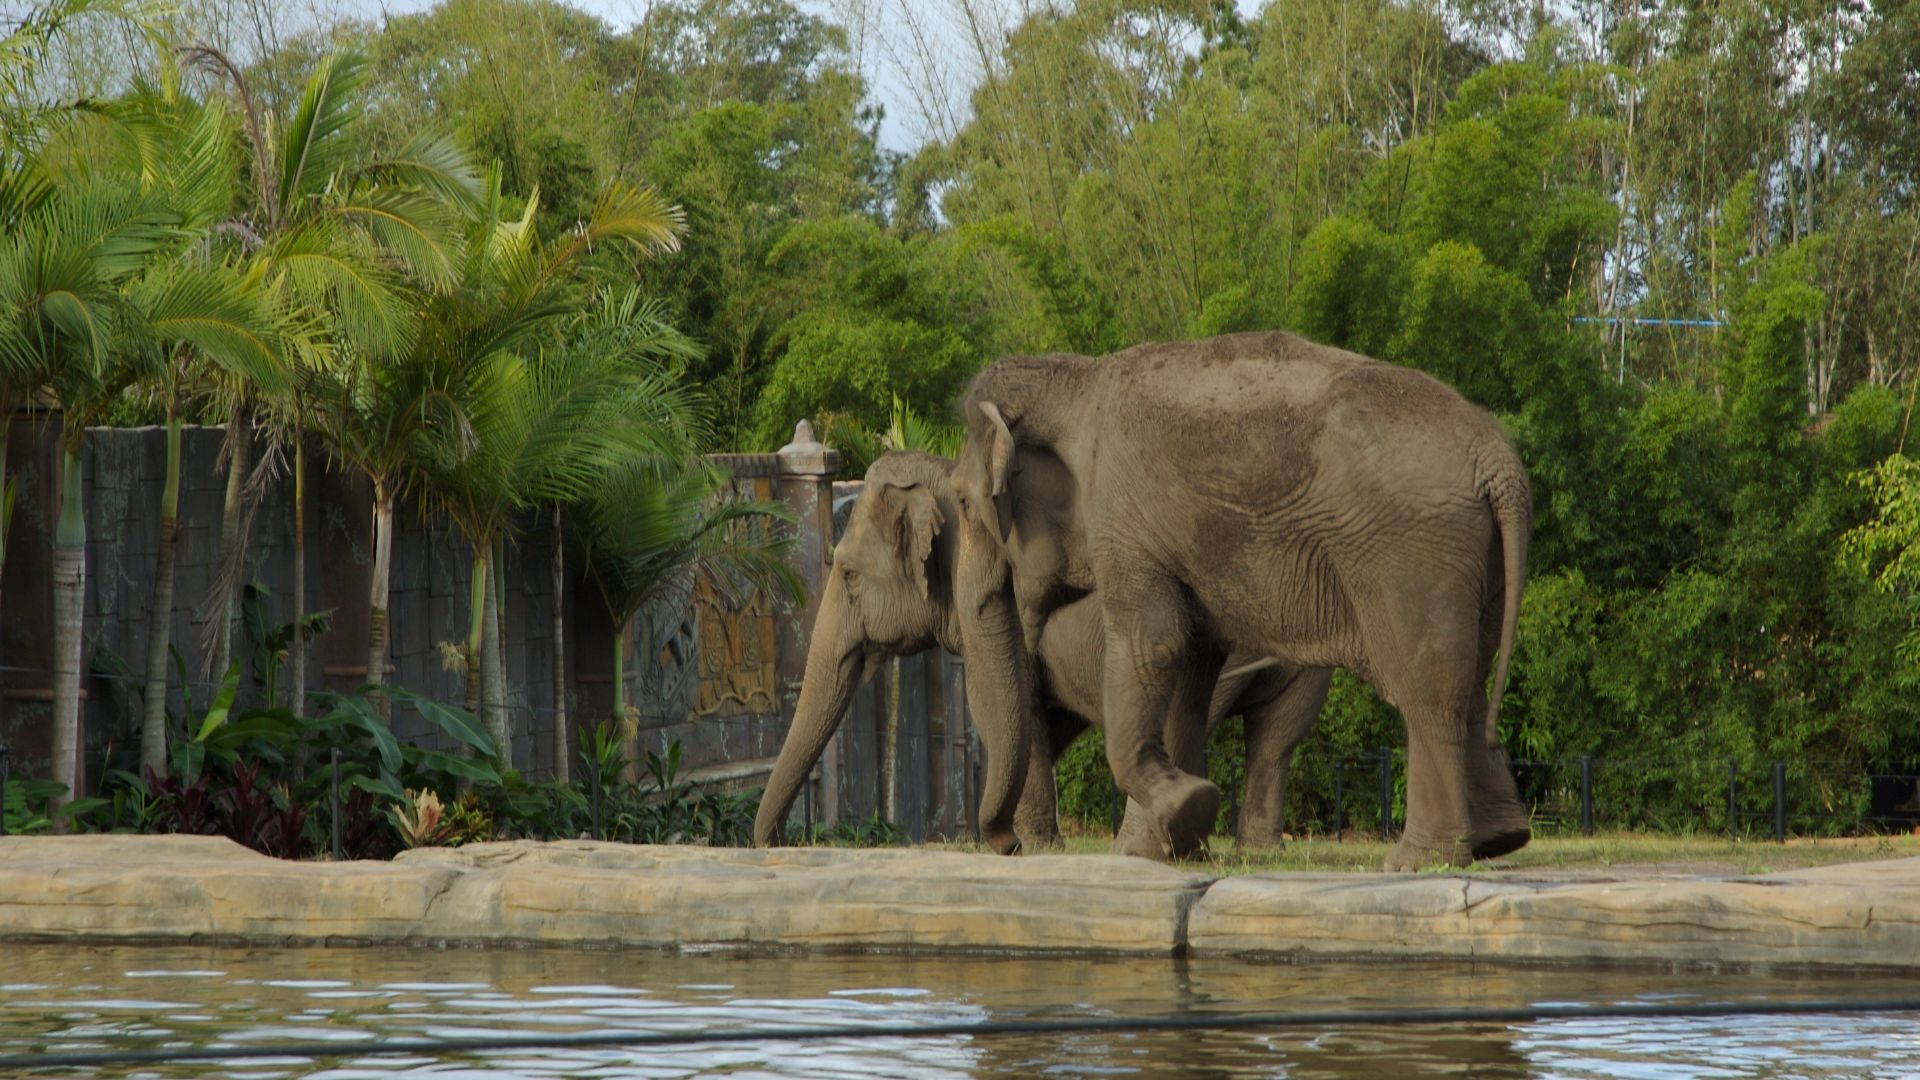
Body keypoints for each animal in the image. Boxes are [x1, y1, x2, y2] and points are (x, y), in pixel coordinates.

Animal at [750, 450, 1333, 852]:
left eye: (847, 573)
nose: (781, 841)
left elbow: (1004, 705)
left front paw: (1029, 846)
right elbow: (1042, 719)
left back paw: (1140, 847)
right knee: (1277, 738)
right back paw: (1253, 848)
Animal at [948, 329, 1533, 870]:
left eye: (963, 501)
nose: (1008, 845)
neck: (1074, 378)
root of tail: (1498, 462)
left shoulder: (1124, 521)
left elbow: (1152, 643)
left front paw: (1182, 812)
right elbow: (1186, 661)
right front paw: (1165, 848)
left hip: (1409, 555)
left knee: (1425, 689)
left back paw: (1418, 860)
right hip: (1475, 558)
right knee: (1471, 680)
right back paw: (1498, 840)